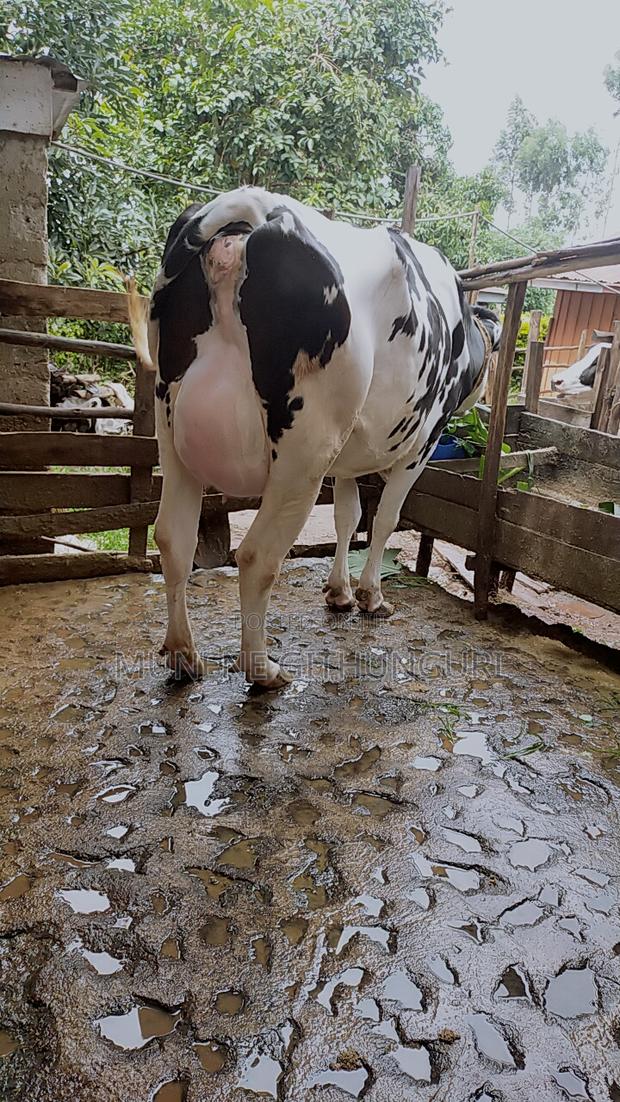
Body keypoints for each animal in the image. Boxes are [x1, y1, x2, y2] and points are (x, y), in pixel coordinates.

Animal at [128, 186, 501, 689]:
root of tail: (250, 206)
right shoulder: (422, 442)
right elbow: (384, 519)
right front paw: (370, 596)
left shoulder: (346, 459)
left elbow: (348, 516)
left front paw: (339, 592)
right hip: (305, 448)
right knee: (256, 556)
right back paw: (262, 668)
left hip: (172, 429)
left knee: (173, 539)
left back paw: (184, 655)